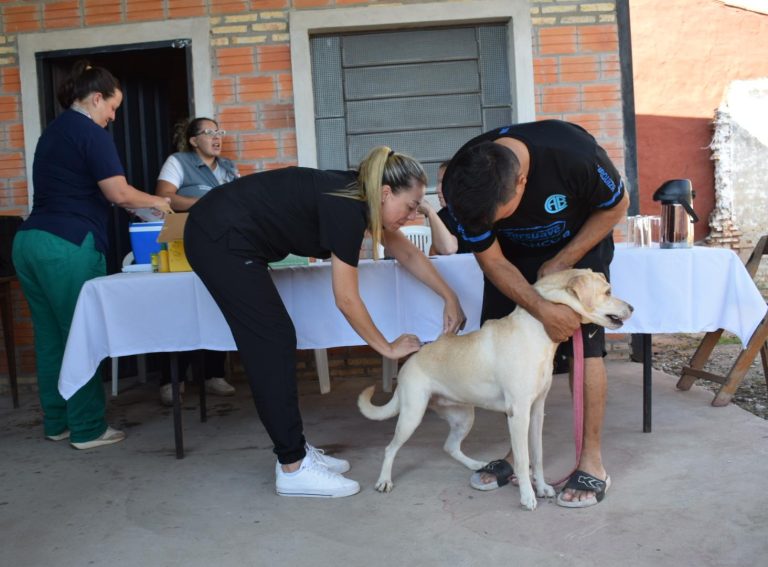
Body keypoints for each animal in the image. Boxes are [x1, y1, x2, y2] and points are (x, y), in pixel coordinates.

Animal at [356, 268, 632, 512]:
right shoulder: (518, 414)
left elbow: (538, 456)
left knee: (449, 447)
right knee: (390, 449)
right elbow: (523, 460)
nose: (632, 308)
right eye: (608, 291)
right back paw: (384, 481)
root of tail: (410, 361)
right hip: (411, 416)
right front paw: (527, 496)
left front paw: (542, 487)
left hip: (463, 417)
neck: (536, 331)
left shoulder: (537, 411)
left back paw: (474, 464)